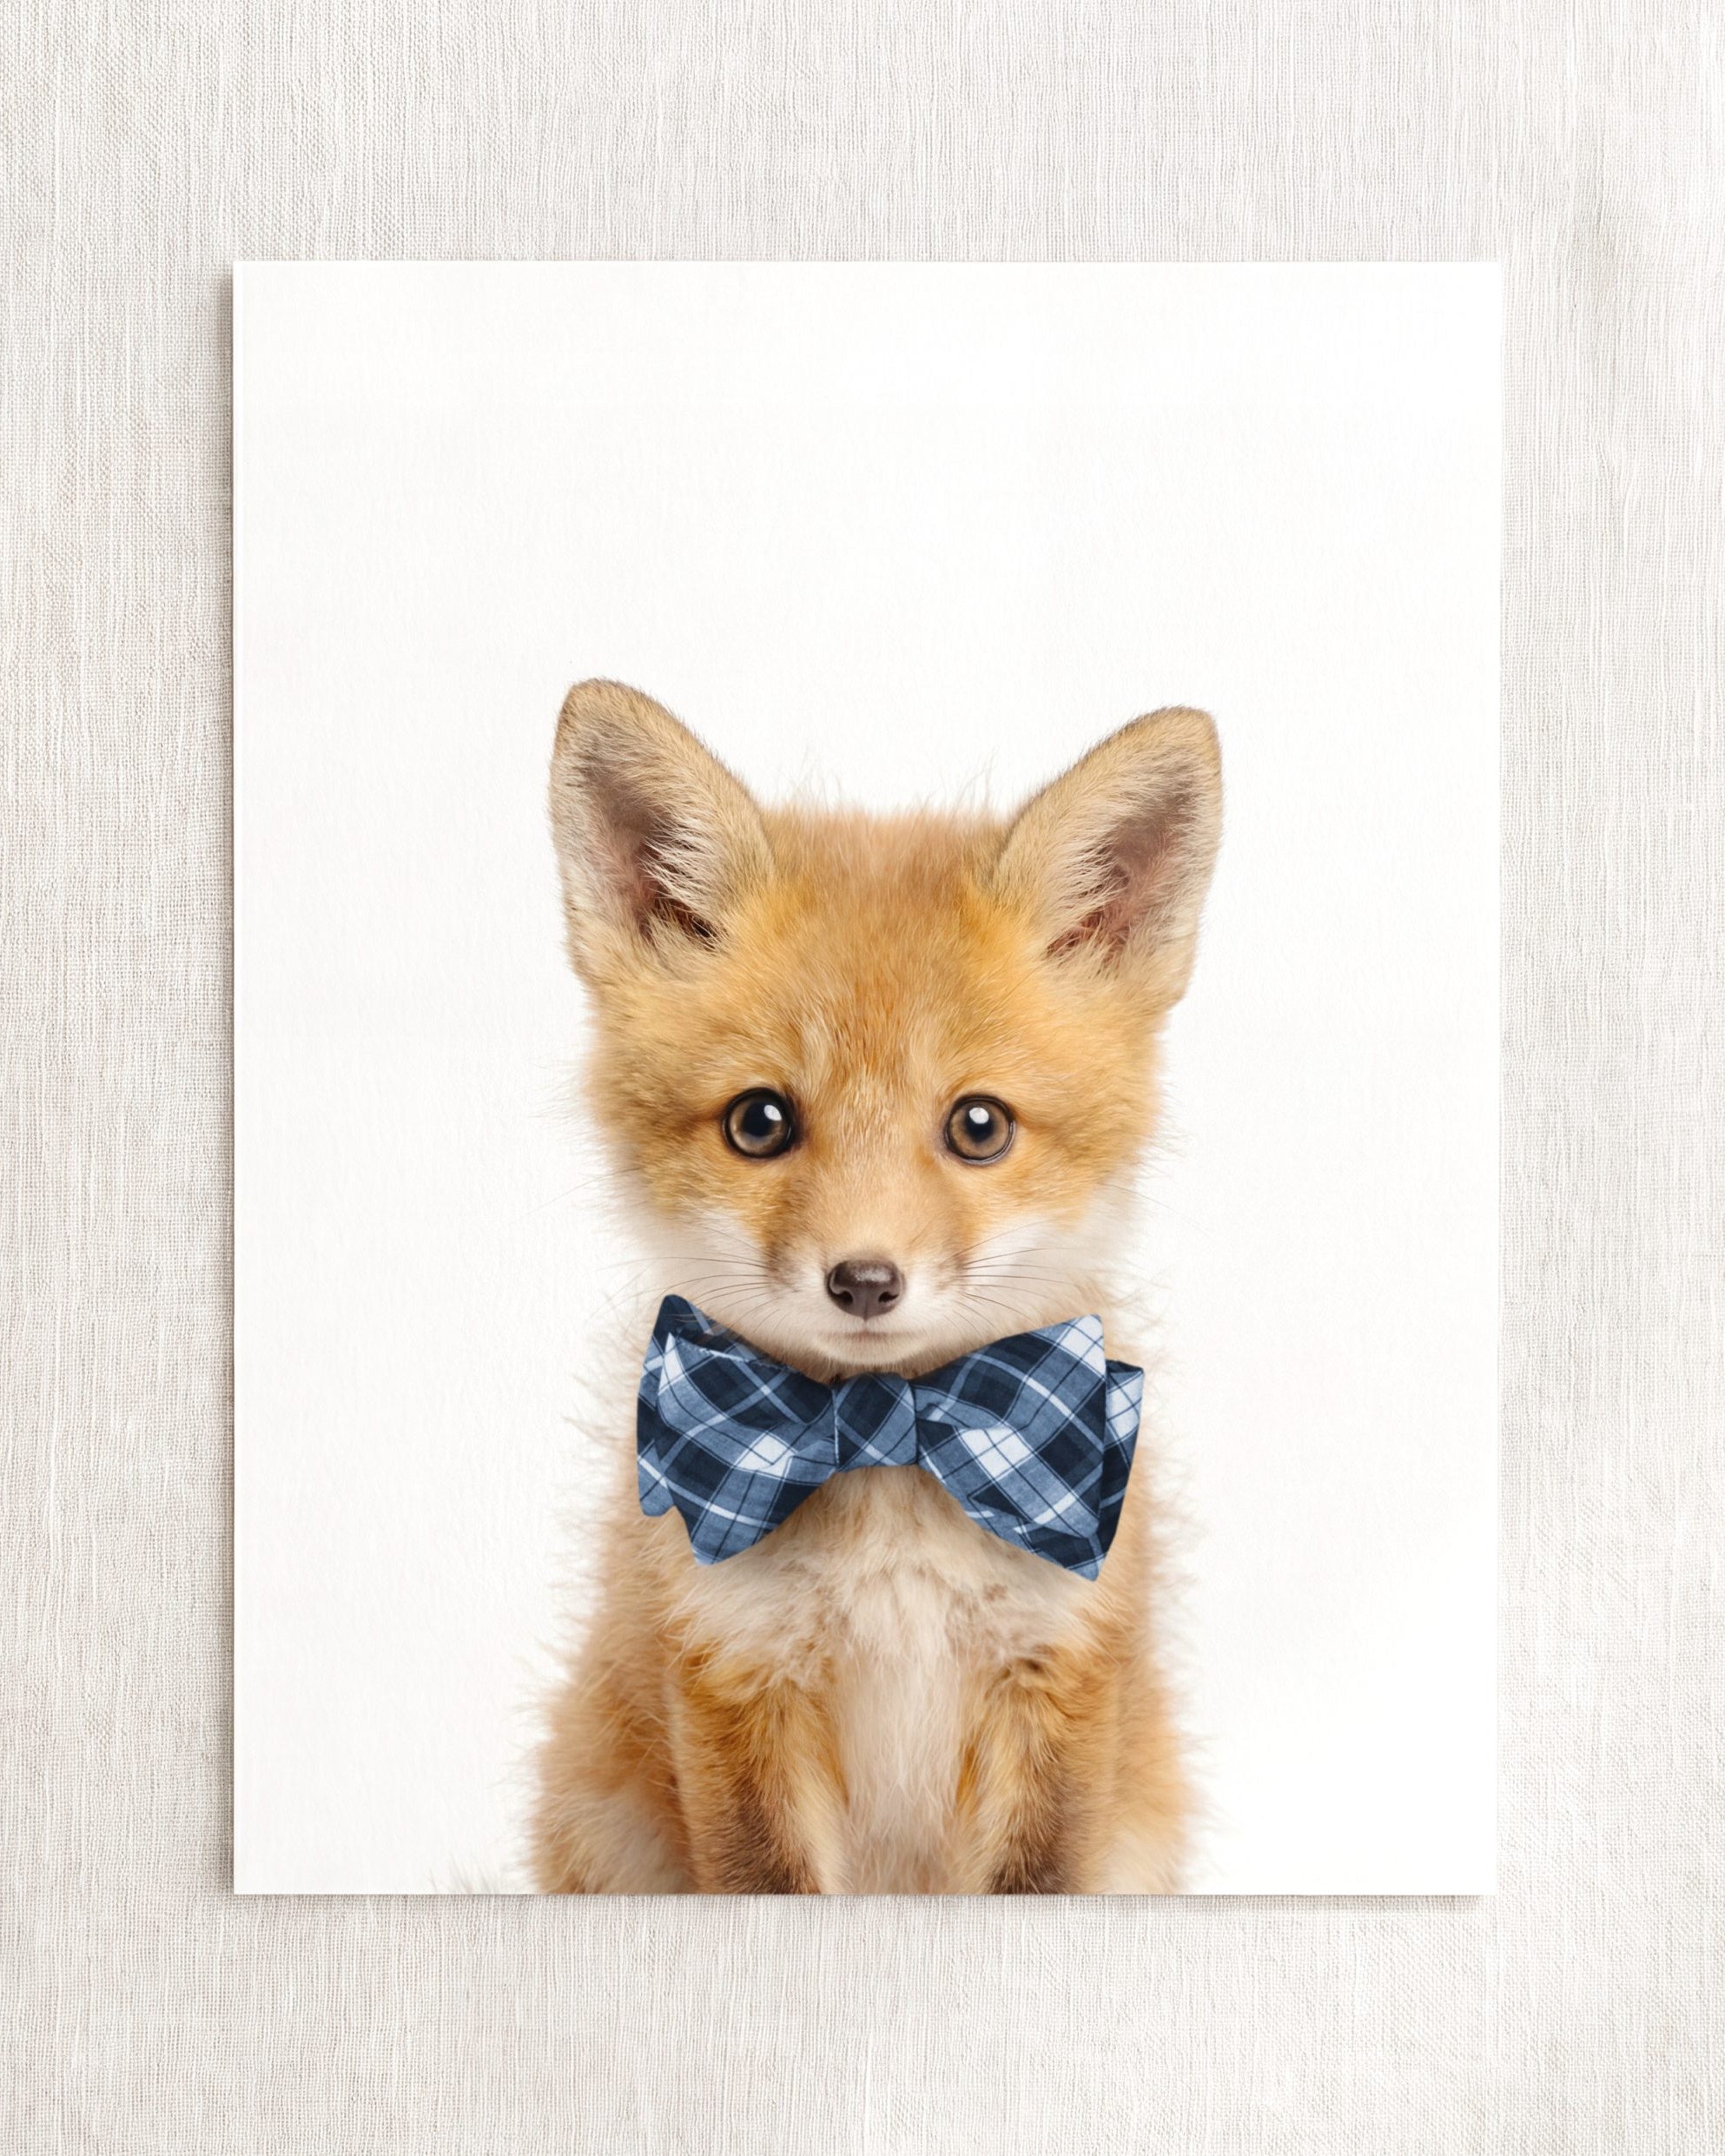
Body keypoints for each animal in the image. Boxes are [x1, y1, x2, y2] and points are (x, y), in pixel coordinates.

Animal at [529, 678, 1222, 1894]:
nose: (863, 1280)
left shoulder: (1059, 1674)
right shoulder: (734, 1674)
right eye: (760, 1121)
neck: (889, 1446)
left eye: (979, 1126)